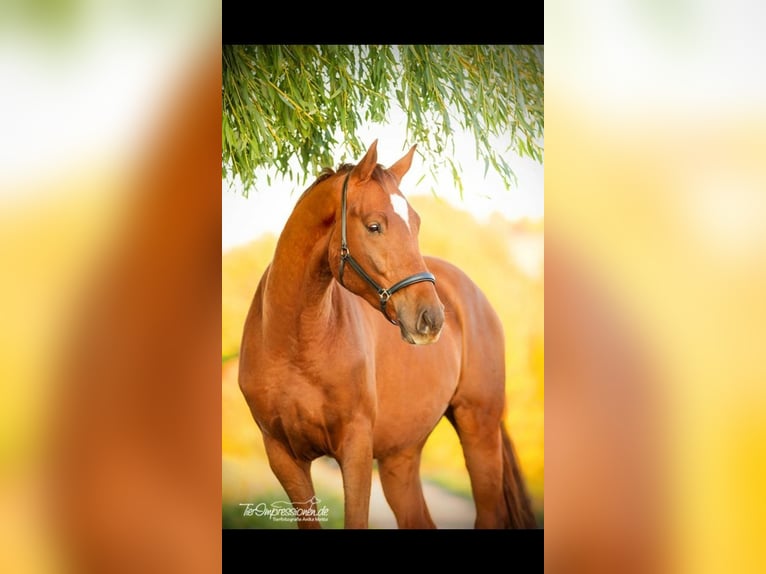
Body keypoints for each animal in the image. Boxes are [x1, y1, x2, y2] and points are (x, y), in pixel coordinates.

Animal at [238, 140, 536, 529]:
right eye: (374, 226)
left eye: (416, 224)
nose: (430, 317)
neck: (295, 343)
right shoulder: (283, 456)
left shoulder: (355, 448)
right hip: (401, 457)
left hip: (479, 429)